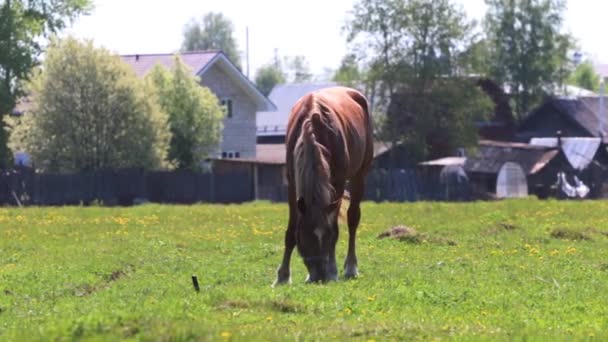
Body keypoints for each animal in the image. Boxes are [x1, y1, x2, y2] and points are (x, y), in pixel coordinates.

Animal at [274, 87, 370, 284]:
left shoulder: (338, 183)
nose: (319, 276)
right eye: (305, 237)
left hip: (359, 175)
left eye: (324, 238)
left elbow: (335, 229)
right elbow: (290, 231)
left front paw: (333, 270)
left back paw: (351, 267)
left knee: (353, 219)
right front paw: (283, 276)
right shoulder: (293, 184)